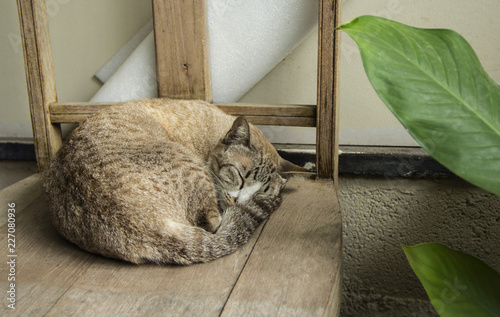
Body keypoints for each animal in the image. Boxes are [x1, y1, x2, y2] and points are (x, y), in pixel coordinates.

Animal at [43, 98, 302, 264]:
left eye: (261, 191)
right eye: (239, 177)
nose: (240, 201)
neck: (213, 133)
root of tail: (150, 226)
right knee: (212, 223)